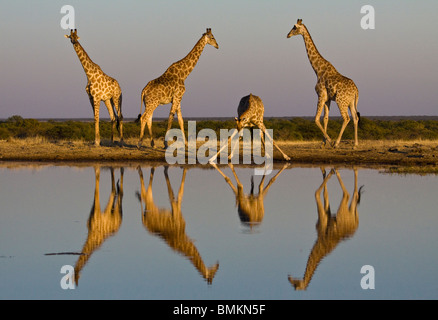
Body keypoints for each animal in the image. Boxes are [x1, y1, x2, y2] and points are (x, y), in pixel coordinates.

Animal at [288, 19, 360, 149]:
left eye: (295, 27)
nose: (288, 35)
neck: (317, 70)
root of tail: (356, 90)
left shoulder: (320, 94)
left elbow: (316, 119)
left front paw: (330, 141)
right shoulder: (328, 98)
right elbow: (325, 118)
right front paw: (323, 143)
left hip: (341, 101)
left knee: (346, 118)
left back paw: (337, 143)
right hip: (351, 102)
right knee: (355, 118)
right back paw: (355, 145)